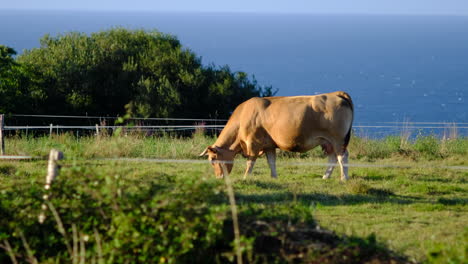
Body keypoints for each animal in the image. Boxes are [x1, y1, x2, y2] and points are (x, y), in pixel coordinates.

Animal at [199, 92, 352, 180]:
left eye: (212, 159)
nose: (219, 177)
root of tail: (336, 94)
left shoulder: (253, 144)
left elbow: (250, 162)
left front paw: (245, 177)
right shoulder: (269, 145)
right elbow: (271, 162)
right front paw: (274, 177)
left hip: (338, 140)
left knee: (342, 156)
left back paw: (344, 178)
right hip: (327, 142)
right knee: (333, 158)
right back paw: (325, 176)